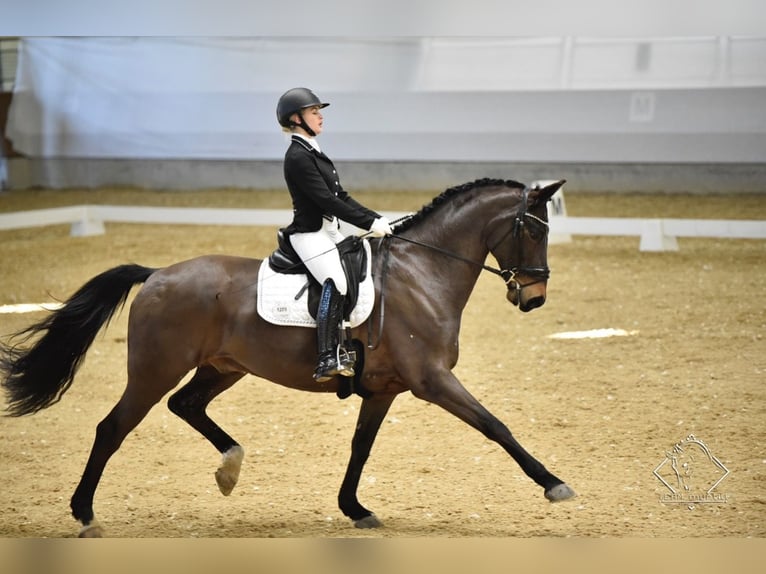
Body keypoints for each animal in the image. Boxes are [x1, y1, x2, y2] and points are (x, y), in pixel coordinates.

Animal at [0, 177, 575, 537]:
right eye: (533, 228)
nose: (534, 298)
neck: (422, 273)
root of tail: (158, 274)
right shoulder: (431, 380)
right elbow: (495, 426)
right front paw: (554, 484)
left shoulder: (385, 389)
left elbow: (360, 448)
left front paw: (354, 509)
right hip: (154, 370)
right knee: (112, 428)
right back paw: (84, 514)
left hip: (223, 369)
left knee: (186, 406)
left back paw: (229, 468)